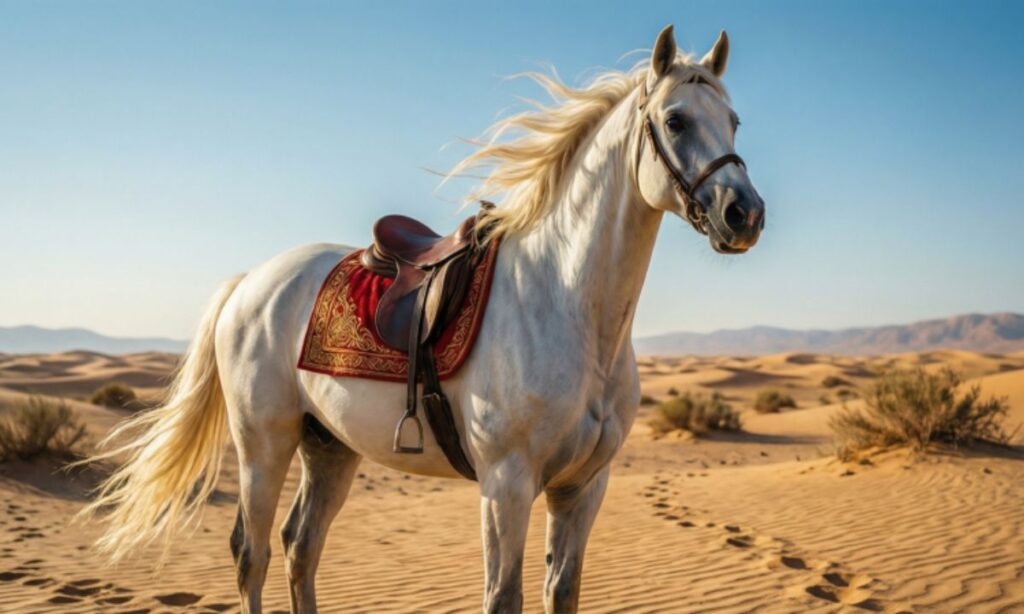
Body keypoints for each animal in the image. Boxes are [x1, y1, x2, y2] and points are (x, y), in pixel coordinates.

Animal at [82, 24, 765, 613]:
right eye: (675, 120)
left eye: (734, 121)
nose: (745, 214)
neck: (568, 307)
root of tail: (248, 282)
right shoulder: (506, 485)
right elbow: (503, 599)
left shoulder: (583, 488)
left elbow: (562, 594)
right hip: (262, 444)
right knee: (250, 555)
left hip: (328, 447)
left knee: (300, 547)